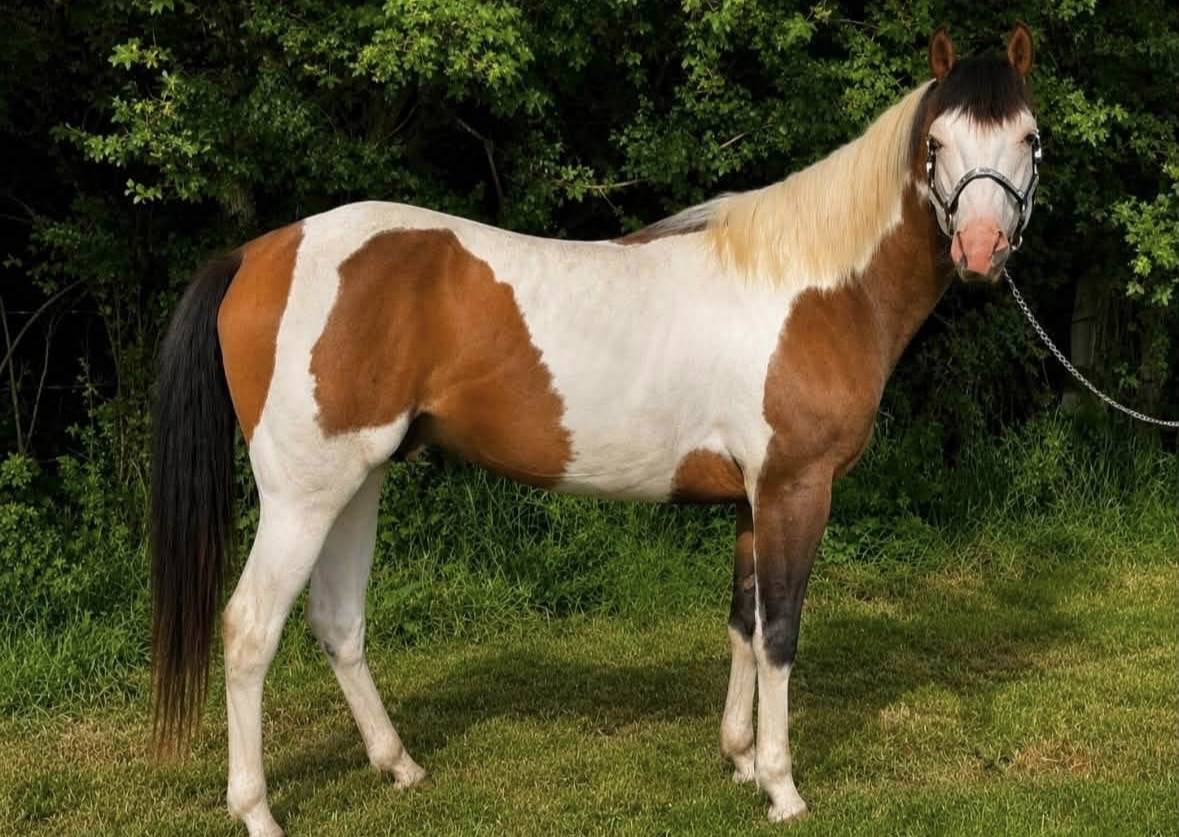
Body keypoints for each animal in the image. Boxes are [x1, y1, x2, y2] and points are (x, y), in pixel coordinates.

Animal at [150, 23, 1040, 834]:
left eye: (1028, 138)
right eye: (936, 143)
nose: (981, 249)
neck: (814, 287)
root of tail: (256, 252)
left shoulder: (751, 499)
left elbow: (743, 623)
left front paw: (740, 758)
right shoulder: (795, 487)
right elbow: (780, 630)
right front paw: (782, 786)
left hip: (357, 481)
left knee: (337, 621)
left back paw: (397, 764)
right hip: (302, 494)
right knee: (249, 629)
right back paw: (257, 810)